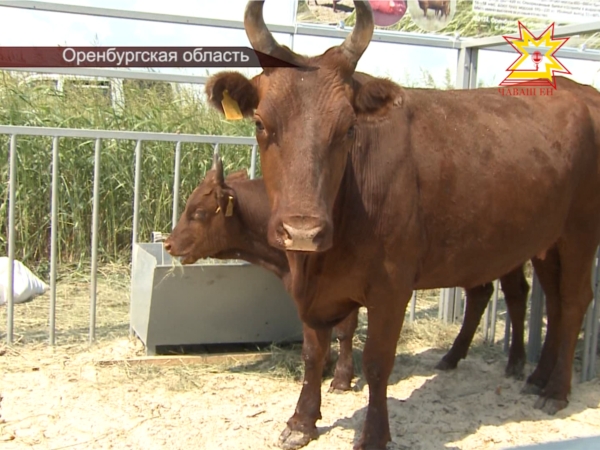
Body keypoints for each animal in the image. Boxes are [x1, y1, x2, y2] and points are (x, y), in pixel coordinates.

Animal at [203, 1, 600, 448]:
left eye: (349, 128)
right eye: (260, 123)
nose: (303, 231)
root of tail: (583, 92)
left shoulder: (391, 287)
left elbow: (377, 361)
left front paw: (374, 434)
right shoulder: (313, 291)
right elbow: (313, 353)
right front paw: (302, 422)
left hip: (582, 230)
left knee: (574, 300)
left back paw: (556, 390)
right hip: (548, 242)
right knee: (553, 300)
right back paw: (537, 377)